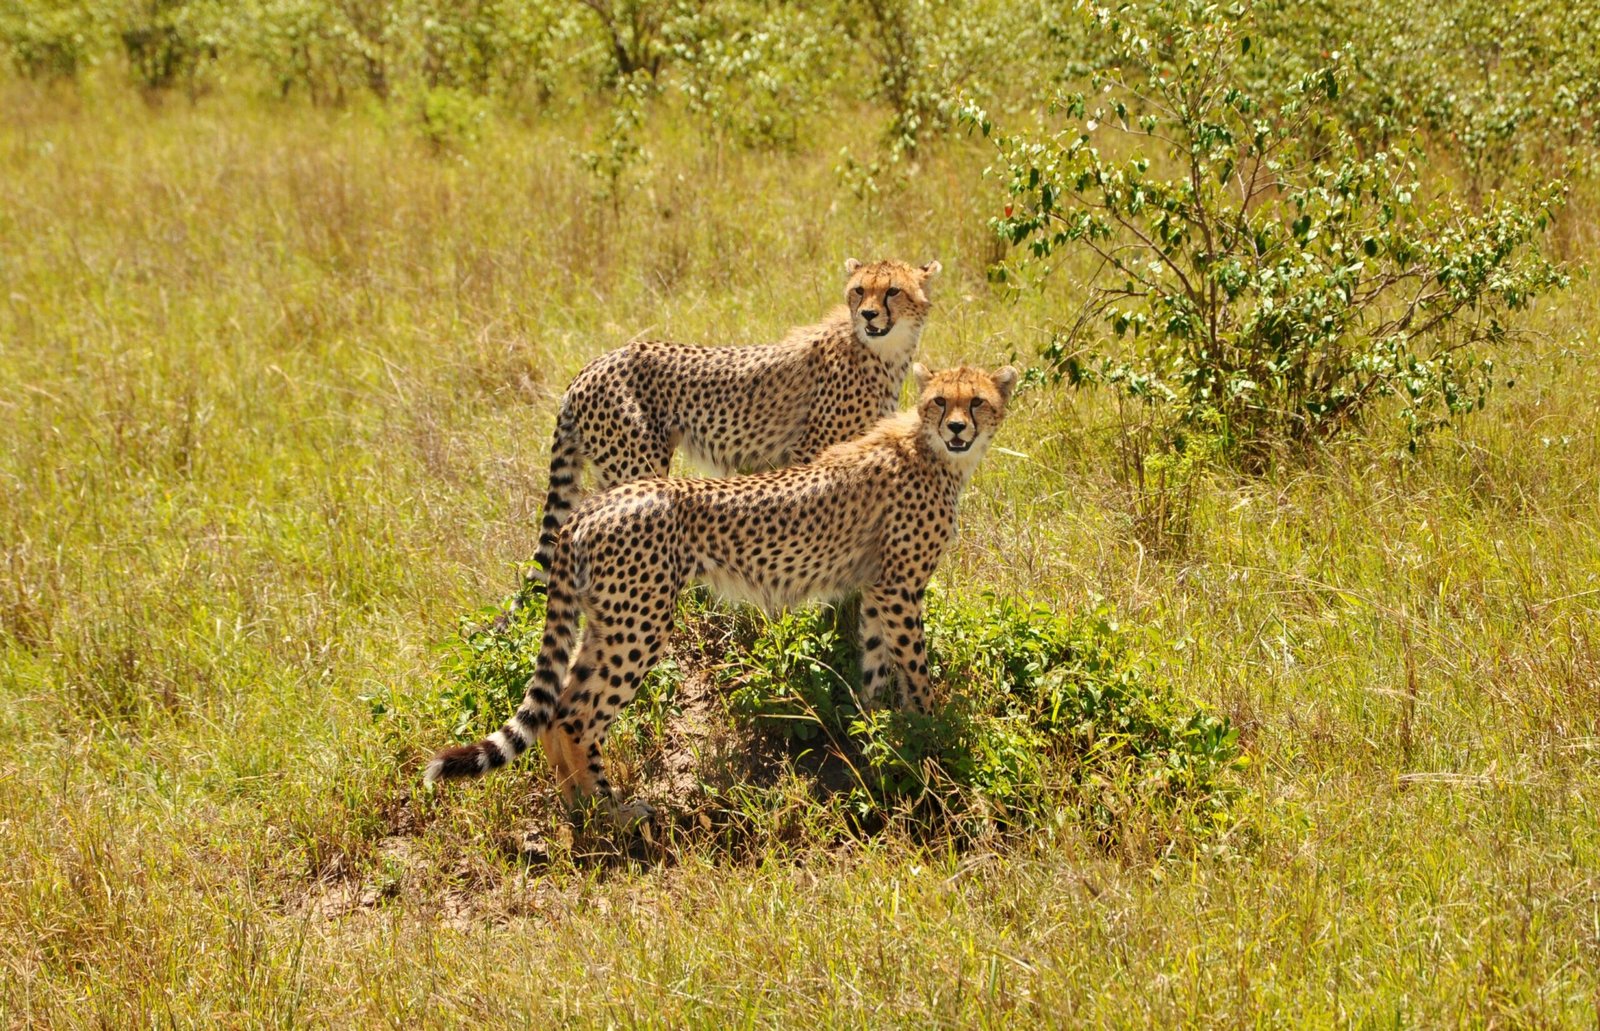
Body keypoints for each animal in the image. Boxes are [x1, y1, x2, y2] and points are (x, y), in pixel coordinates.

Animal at [425, 365, 1017, 819]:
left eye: (977, 402)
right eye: (940, 401)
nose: (958, 428)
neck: (931, 450)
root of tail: (590, 508)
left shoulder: (876, 589)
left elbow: (873, 667)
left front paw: (873, 741)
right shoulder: (900, 588)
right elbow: (915, 672)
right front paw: (930, 738)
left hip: (608, 621)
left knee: (557, 706)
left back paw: (578, 809)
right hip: (640, 624)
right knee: (576, 716)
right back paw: (612, 812)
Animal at [518, 259, 934, 595]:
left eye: (892, 291)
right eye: (859, 290)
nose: (867, 315)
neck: (882, 352)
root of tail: (588, 369)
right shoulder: (812, 452)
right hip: (636, 465)